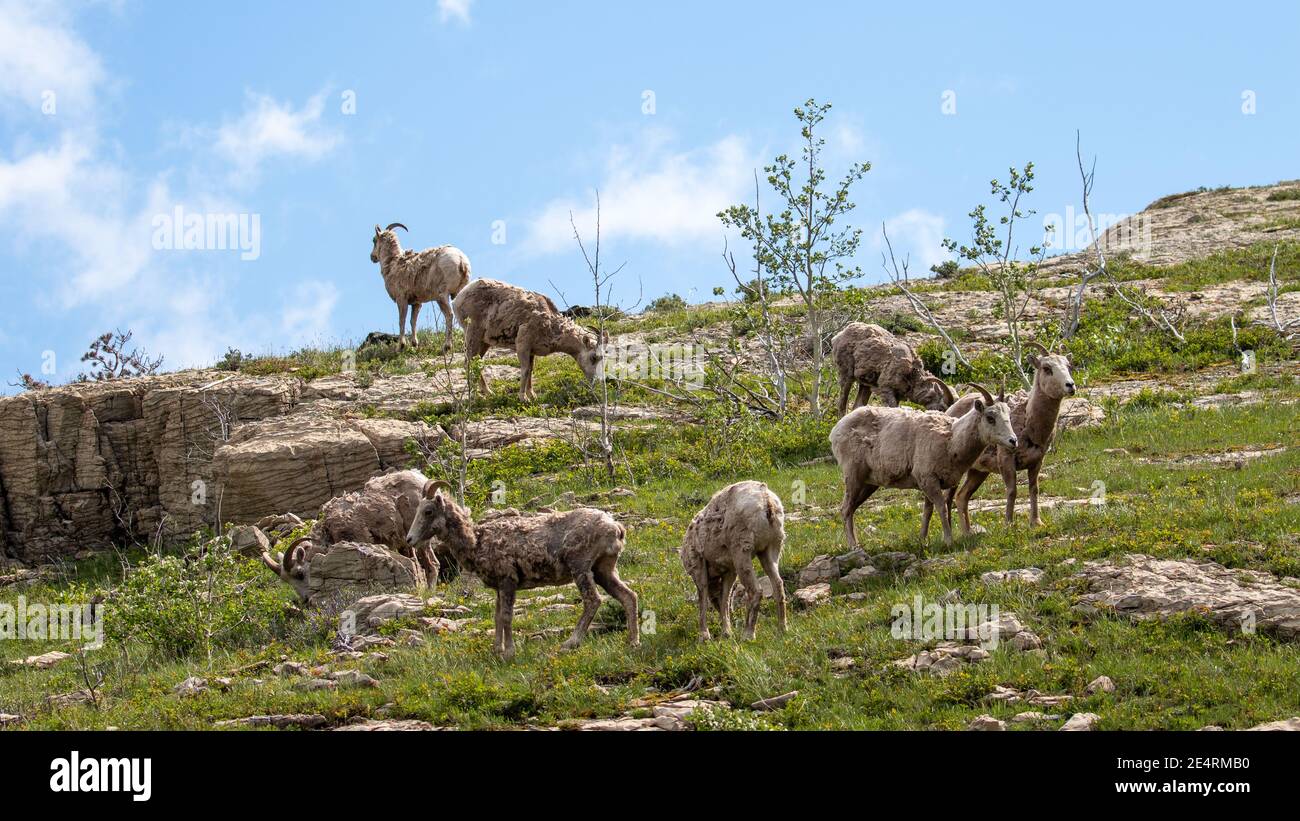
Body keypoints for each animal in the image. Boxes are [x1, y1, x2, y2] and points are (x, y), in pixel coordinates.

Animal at [257, 470, 441, 600]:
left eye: (300, 574)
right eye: (287, 581)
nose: (306, 601)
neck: (329, 532)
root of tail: (422, 480)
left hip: (420, 537)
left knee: (432, 565)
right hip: (406, 543)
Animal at [400, 480, 634, 659]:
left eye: (428, 511)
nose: (410, 539)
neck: (477, 542)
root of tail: (615, 527)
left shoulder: (508, 582)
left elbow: (506, 617)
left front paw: (509, 652)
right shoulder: (498, 588)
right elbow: (497, 617)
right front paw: (496, 650)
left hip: (581, 569)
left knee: (593, 601)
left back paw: (570, 643)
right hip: (604, 570)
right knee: (629, 596)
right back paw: (633, 643)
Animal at [452, 279, 603, 400]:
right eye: (594, 357)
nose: (598, 381)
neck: (550, 324)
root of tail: (457, 299)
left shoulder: (531, 351)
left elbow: (530, 370)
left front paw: (532, 395)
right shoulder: (522, 344)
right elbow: (524, 370)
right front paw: (523, 398)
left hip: (484, 342)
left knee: (476, 362)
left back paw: (489, 393)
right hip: (473, 333)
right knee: (468, 362)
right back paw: (474, 396)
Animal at [676, 480, 785, 641]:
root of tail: (767, 502)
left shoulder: (698, 567)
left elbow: (703, 598)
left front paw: (704, 636)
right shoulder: (729, 571)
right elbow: (725, 599)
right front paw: (726, 632)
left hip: (742, 549)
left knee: (756, 590)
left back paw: (748, 634)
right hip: (771, 548)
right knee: (778, 584)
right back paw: (782, 629)